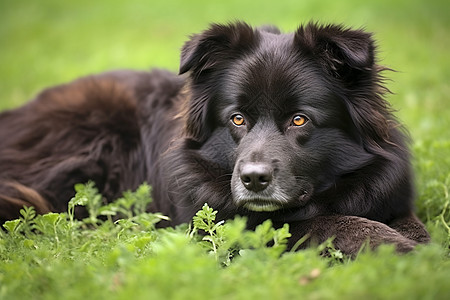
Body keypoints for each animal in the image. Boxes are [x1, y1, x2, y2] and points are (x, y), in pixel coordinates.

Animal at [0, 22, 428, 254]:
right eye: (237, 118)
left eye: (299, 120)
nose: (253, 179)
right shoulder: (226, 225)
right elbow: (328, 223)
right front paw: (402, 252)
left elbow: (409, 224)